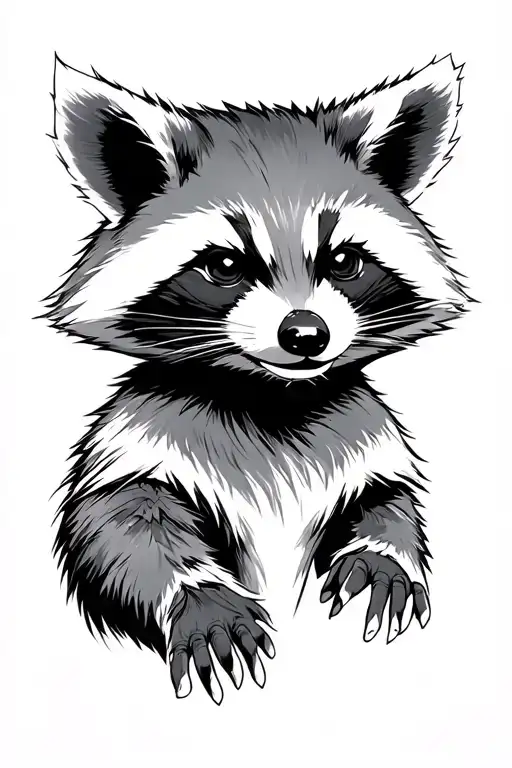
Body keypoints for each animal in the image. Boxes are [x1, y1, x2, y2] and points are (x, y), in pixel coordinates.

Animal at [45, 54, 470, 704]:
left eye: (343, 261)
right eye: (224, 264)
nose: (306, 335)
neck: (273, 400)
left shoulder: (366, 441)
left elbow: (387, 502)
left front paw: (382, 554)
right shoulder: (138, 439)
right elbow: (118, 528)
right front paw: (201, 596)